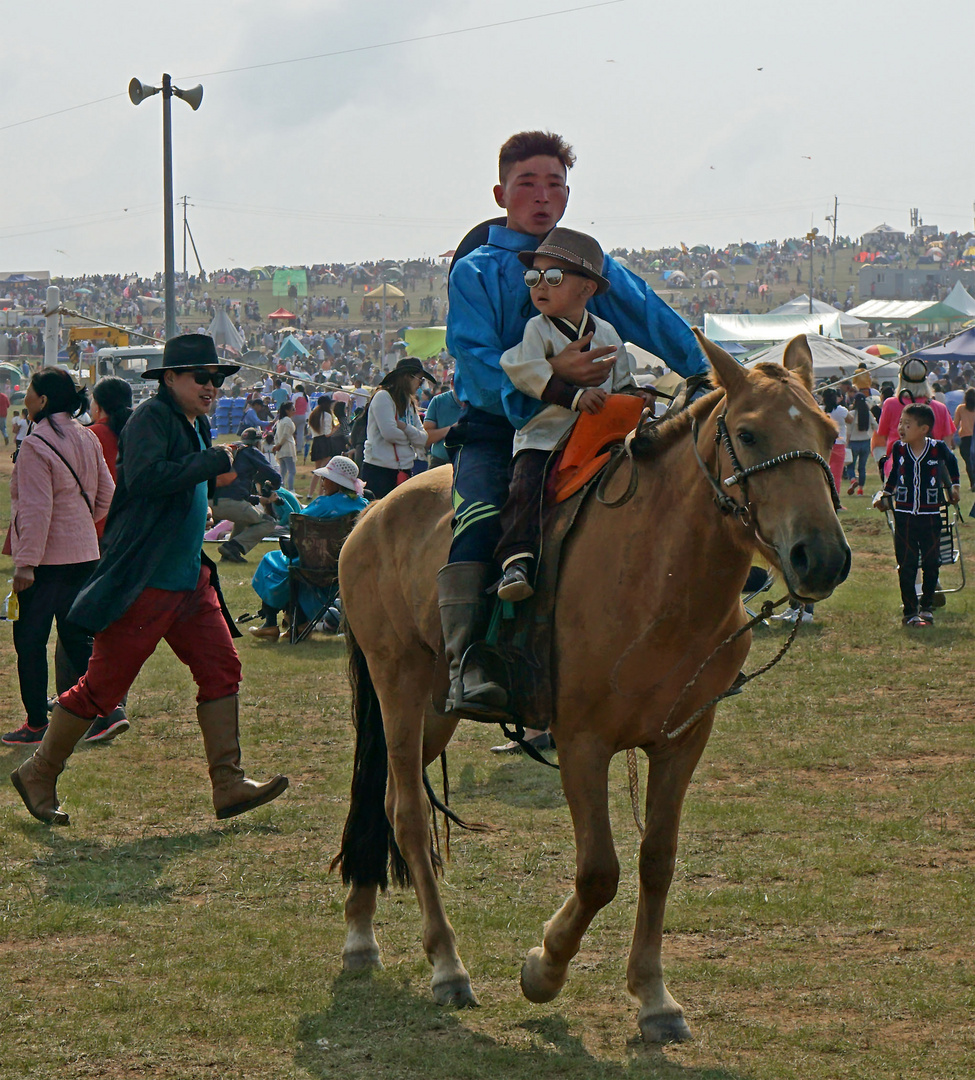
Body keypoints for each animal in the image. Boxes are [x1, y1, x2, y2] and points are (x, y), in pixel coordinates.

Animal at [332, 332, 850, 1041]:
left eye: (828, 433)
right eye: (747, 434)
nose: (820, 557)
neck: (659, 573)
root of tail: (371, 514)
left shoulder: (683, 739)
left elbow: (657, 858)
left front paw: (654, 996)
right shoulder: (582, 742)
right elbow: (600, 871)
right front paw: (543, 969)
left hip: (435, 708)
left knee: (382, 798)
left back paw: (361, 932)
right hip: (398, 687)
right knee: (408, 814)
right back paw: (446, 965)